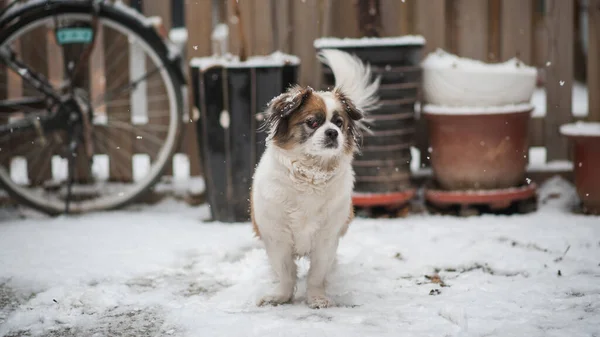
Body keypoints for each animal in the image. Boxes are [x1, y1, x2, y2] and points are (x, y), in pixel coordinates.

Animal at [248, 48, 380, 308]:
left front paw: (317, 297)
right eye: (313, 122)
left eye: (339, 123)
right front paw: (281, 295)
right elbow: (286, 272)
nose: (333, 133)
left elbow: (317, 273)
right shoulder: (277, 237)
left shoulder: (326, 238)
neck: (310, 173)